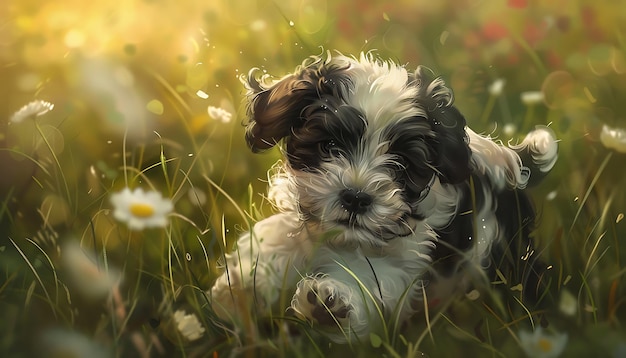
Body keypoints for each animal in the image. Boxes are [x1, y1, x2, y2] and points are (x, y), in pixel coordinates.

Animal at [211, 51, 556, 342]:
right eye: (329, 146)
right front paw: (240, 287)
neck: (344, 238)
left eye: (401, 164)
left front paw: (329, 307)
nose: (355, 197)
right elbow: (278, 242)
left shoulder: (405, 262)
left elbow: (372, 279)